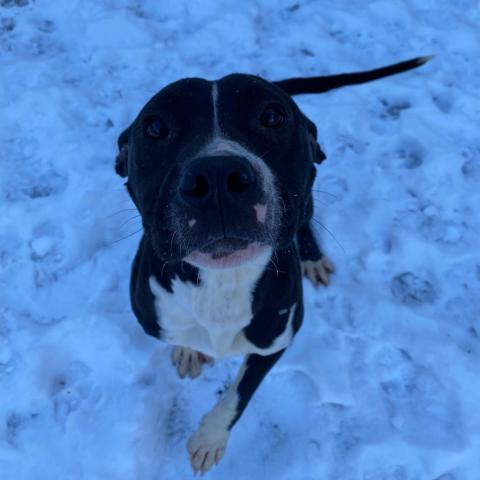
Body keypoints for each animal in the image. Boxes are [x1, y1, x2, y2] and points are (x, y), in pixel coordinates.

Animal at [115, 55, 432, 472]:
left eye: (272, 115)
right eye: (155, 127)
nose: (217, 176)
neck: (223, 281)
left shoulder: (274, 343)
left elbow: (237, 398)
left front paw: (209, 440)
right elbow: (182, 336)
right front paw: (187, 350)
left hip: (307, 197)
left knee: (305, 219)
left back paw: (313, 257)